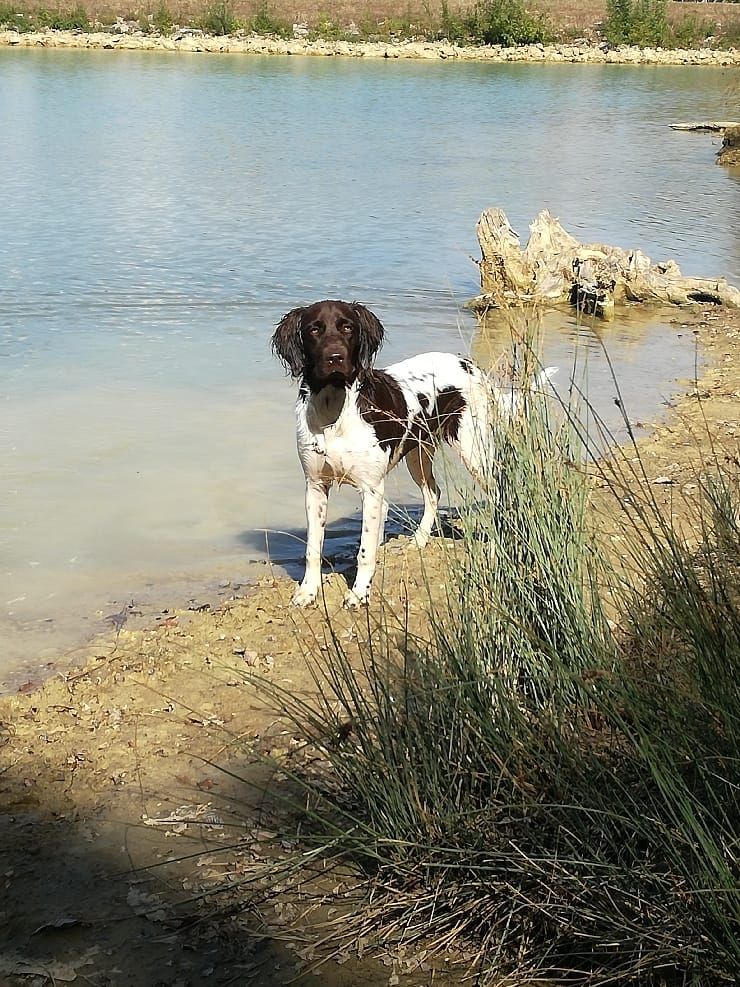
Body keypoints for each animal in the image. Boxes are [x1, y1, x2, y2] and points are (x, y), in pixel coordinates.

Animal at [272, 300, 556, 608]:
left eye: (347, 327)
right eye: (314, 329)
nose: (335, 358)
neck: (334, 413)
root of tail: (474, 369)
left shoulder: (372, 490)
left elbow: (365, 552)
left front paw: (359, 593)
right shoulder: (315, 486)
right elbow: (313, 549)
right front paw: (308, 591)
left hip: (473, 450)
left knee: (498, 496)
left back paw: (494, 547)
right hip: (418, 455)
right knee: (433, 492)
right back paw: (420, 540)